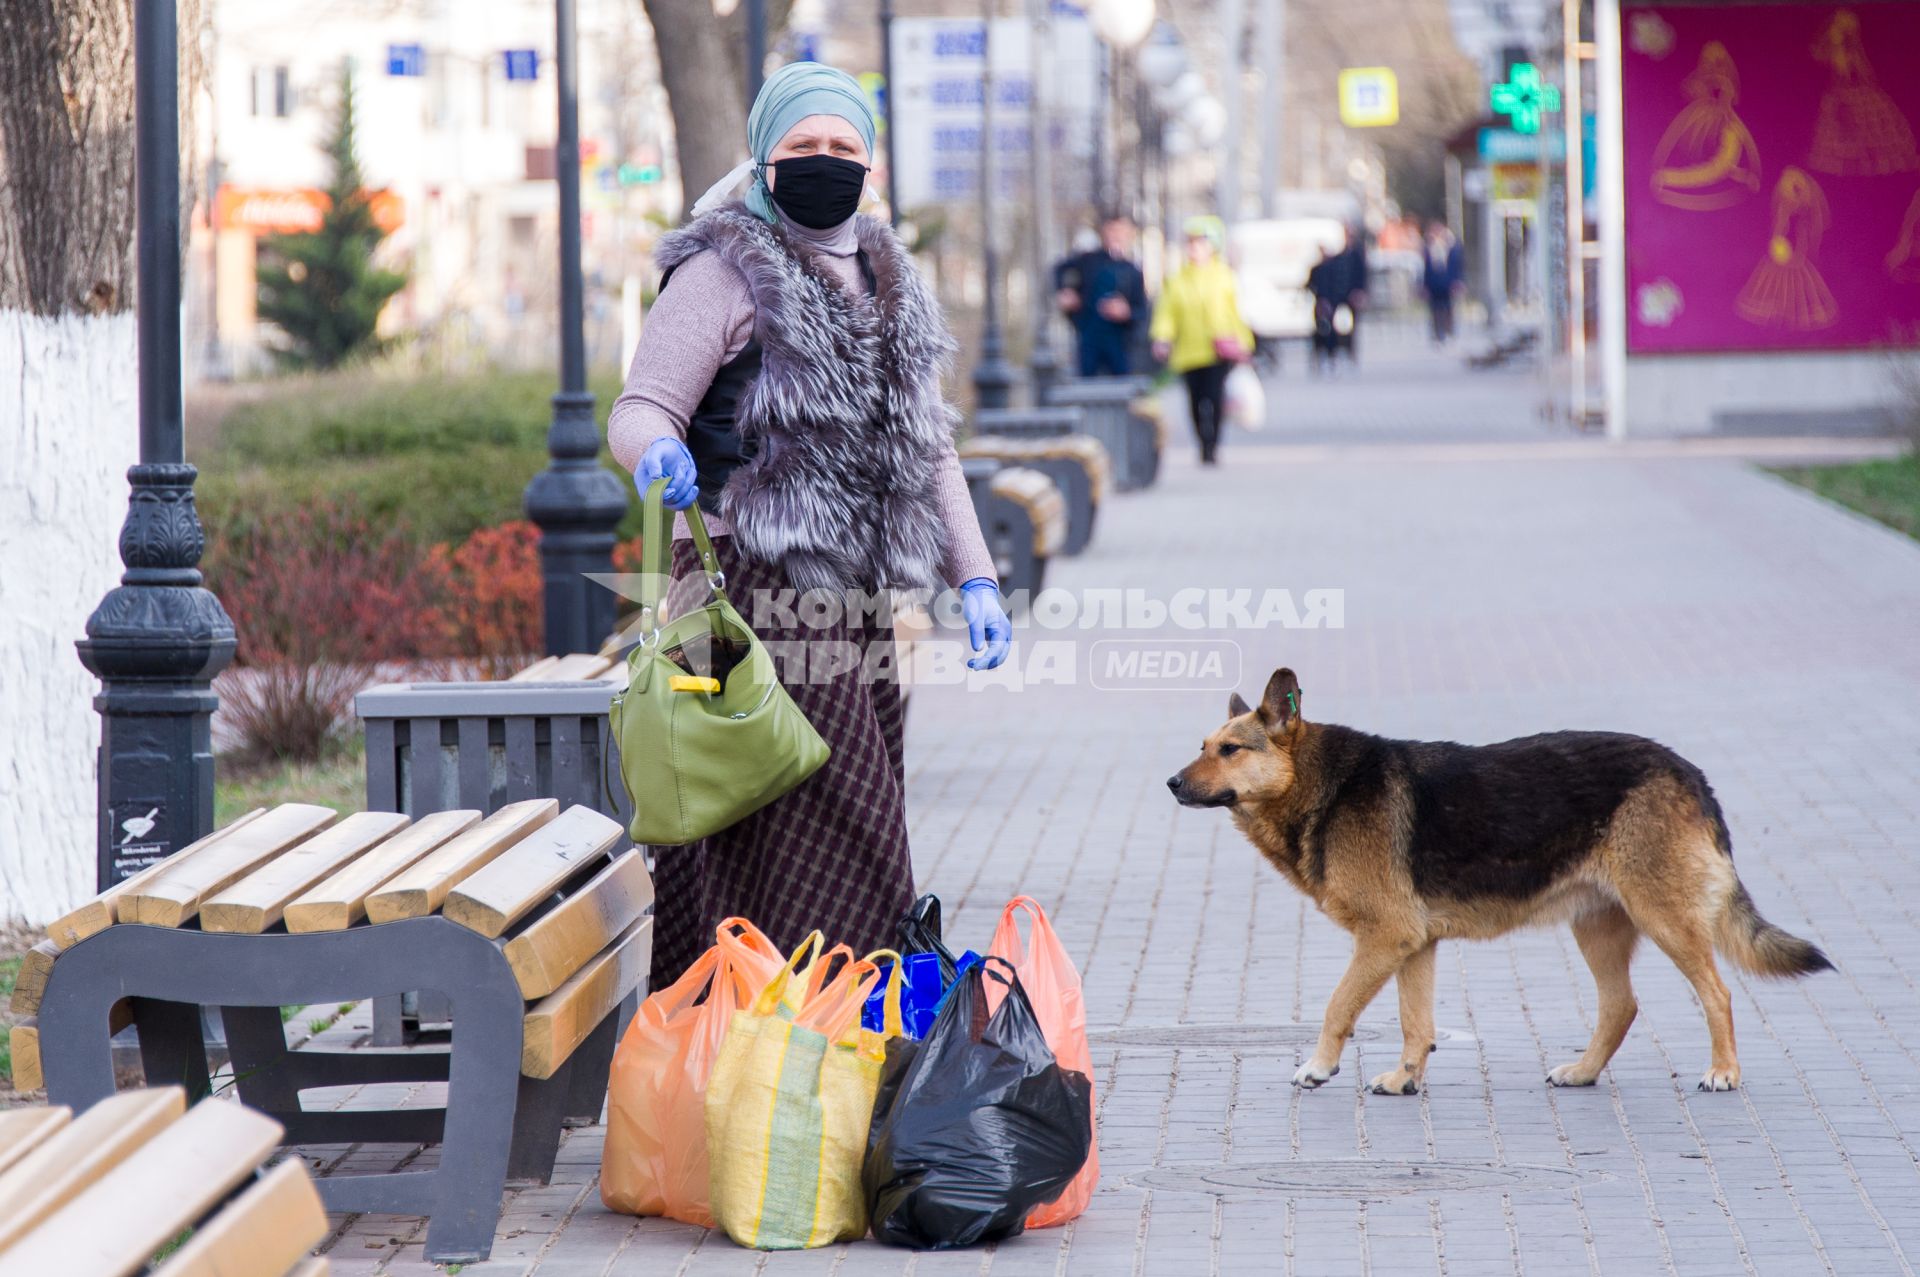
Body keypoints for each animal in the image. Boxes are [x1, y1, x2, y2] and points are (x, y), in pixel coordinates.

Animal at [1159, 668, 1835, 1098]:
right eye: (1203, 746)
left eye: (1230, 750)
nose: (1170, 783)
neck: (1325, 787)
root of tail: (1689, 772)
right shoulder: (1413, 946)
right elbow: (1416, 1023)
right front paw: (1406, 1080)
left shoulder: (1384, 940)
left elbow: (1337, 1006)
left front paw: (1319, 1068)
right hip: (1598, 928)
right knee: (1621, 1006)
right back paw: (1583, 1072)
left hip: (1665, 919)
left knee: (1716, 994)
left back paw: (1724, 1072)